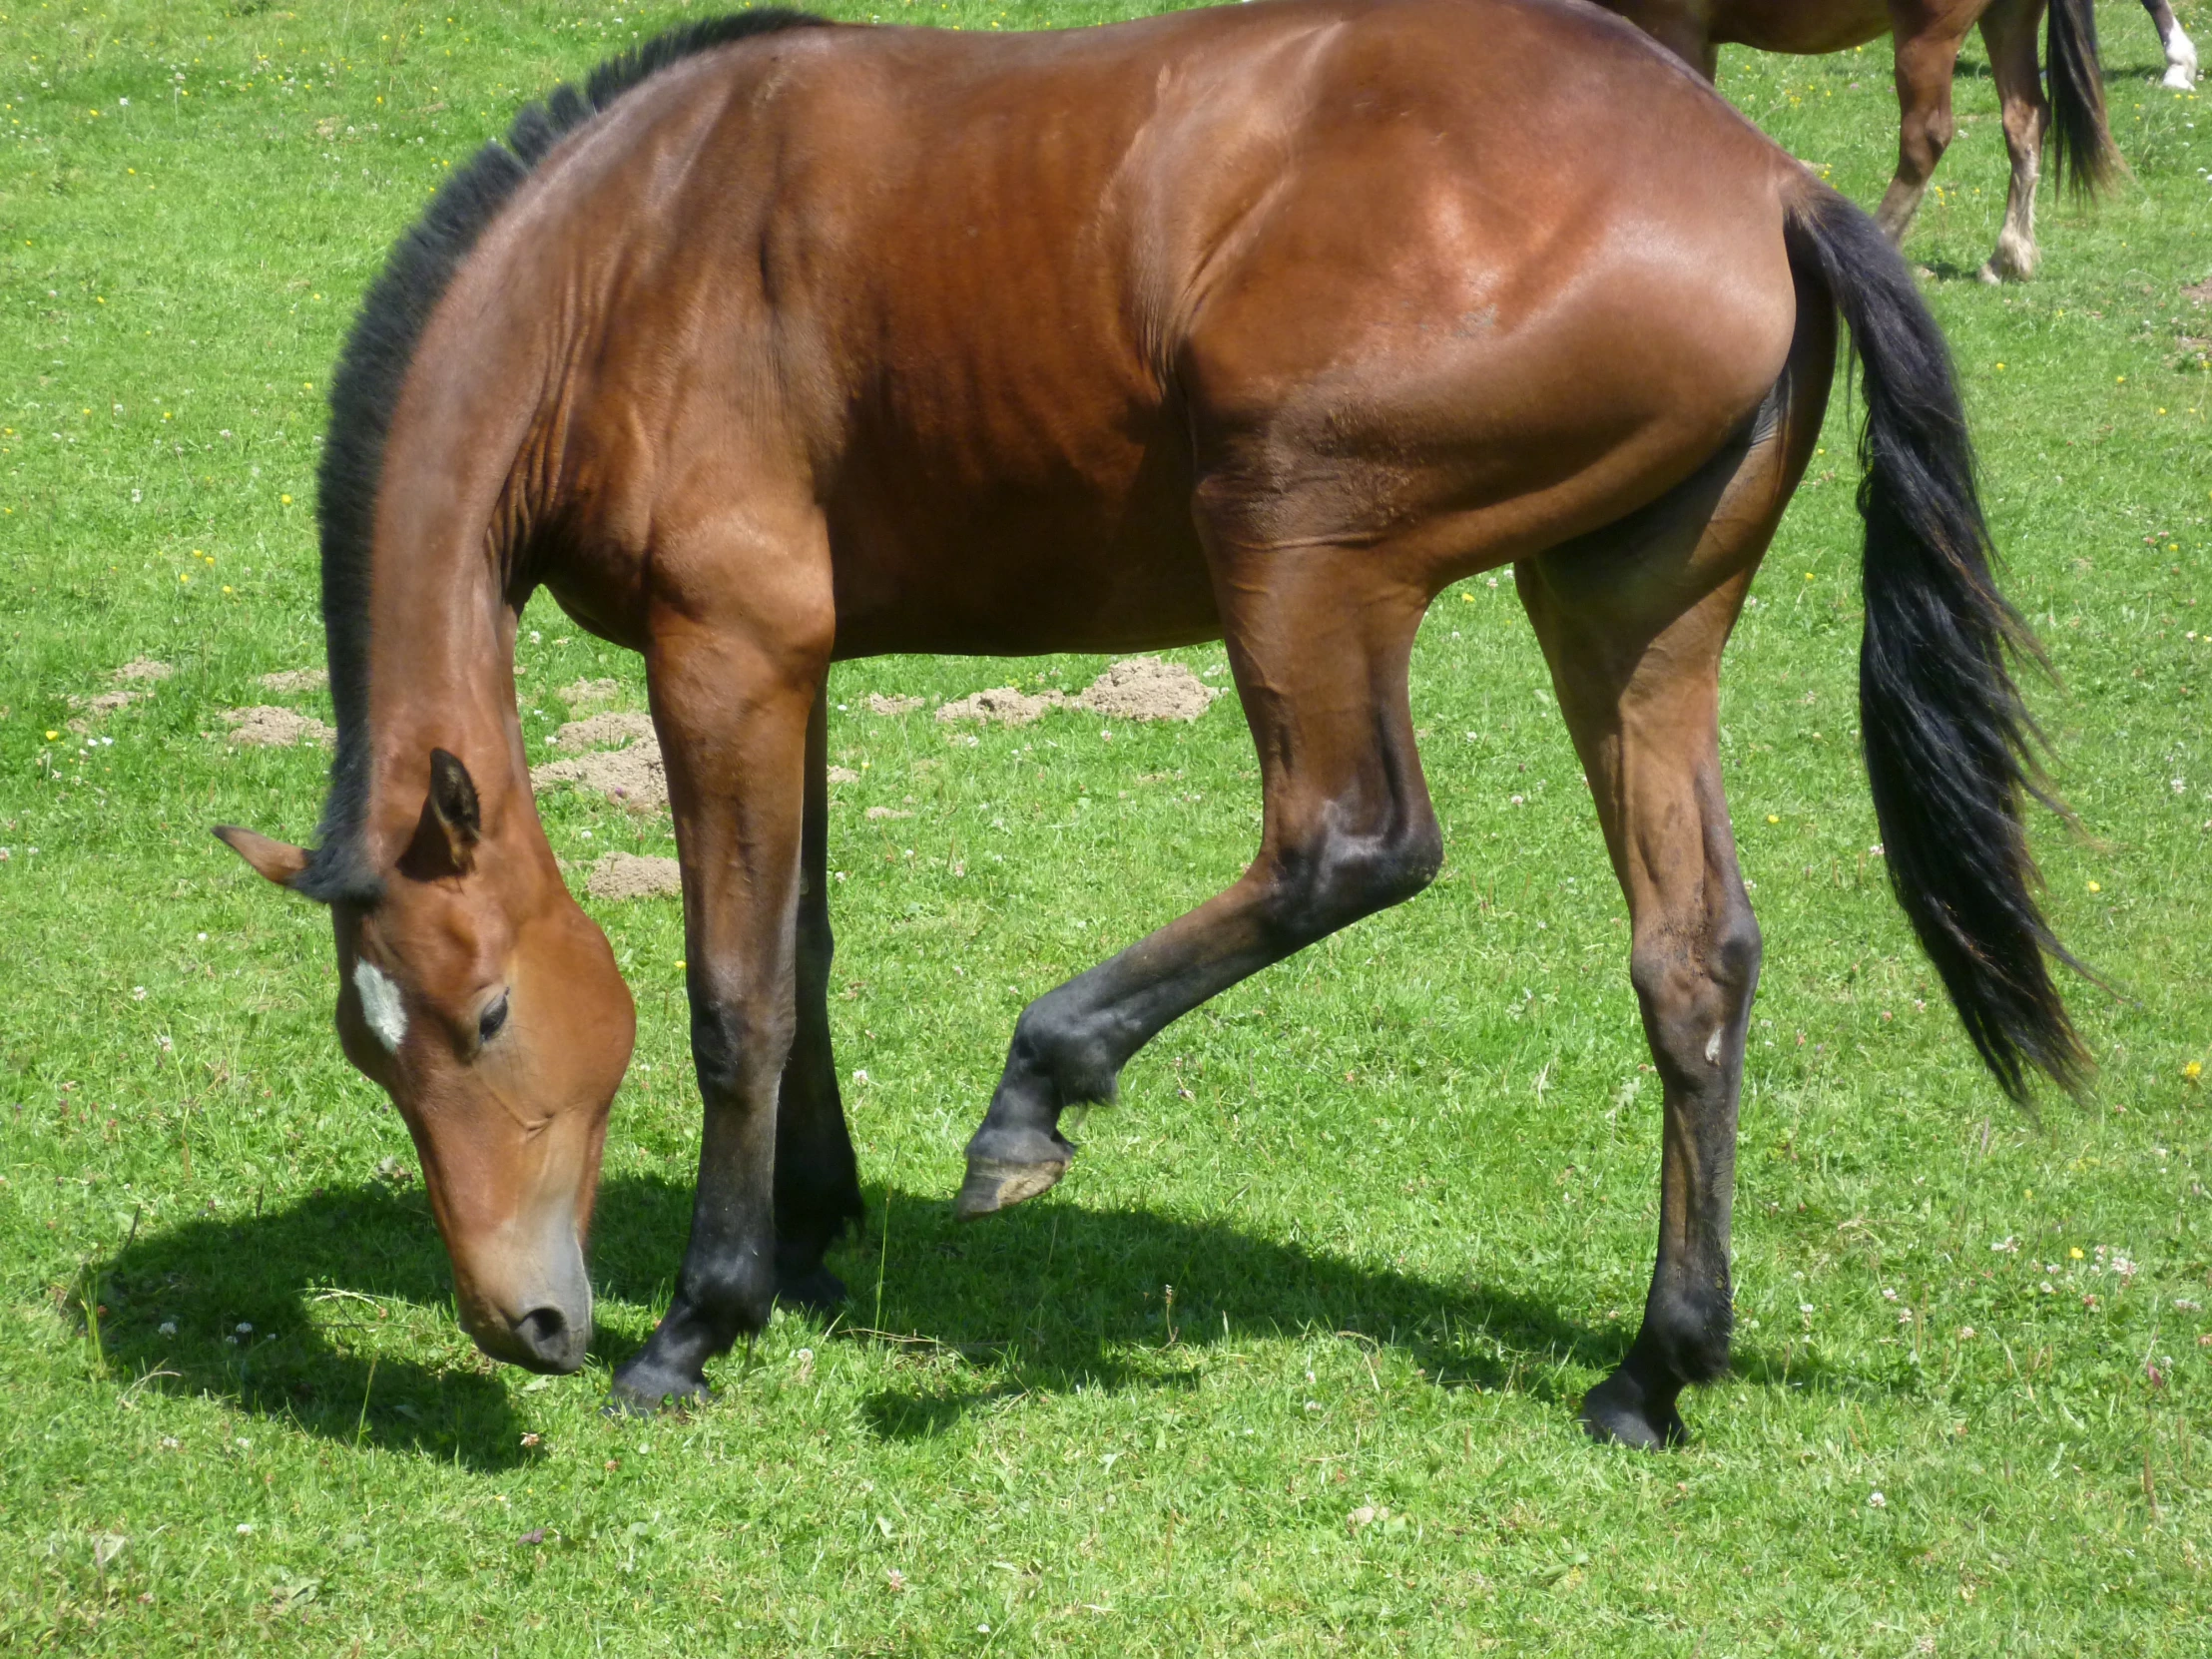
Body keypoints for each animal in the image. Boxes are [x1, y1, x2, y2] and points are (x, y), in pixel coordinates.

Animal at [1592, 0, 2123, 282]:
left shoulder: (1674, 25)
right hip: (2008, 17)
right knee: (2024, 121)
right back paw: (2010, 255)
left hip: (1926, 37)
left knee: (1925, 137)